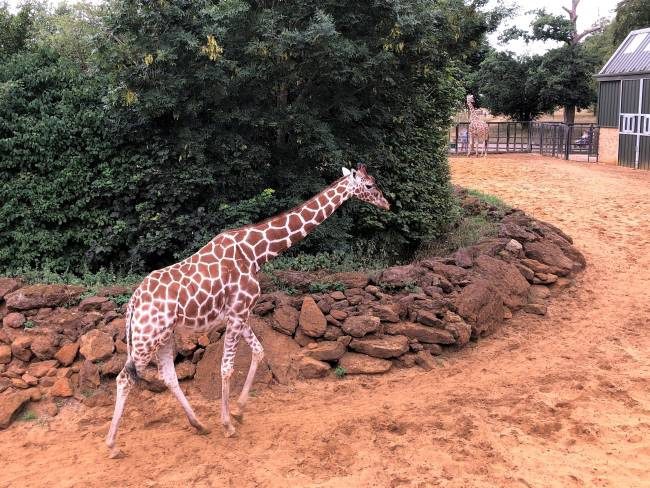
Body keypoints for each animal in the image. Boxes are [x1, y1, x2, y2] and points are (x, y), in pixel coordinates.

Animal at [105, 164, 390, 458]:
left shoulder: (241, 313)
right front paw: (228, 424)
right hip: (146, 336)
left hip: (163, 335)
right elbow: (226, 367)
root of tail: (133, 302)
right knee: (124, 378)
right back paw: (113, 445)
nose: (387, 203)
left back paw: (199, 425)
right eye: (369, 185)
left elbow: (259, 351)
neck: (256, 253)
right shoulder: (237, 312)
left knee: (168, 375)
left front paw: (239, 411)